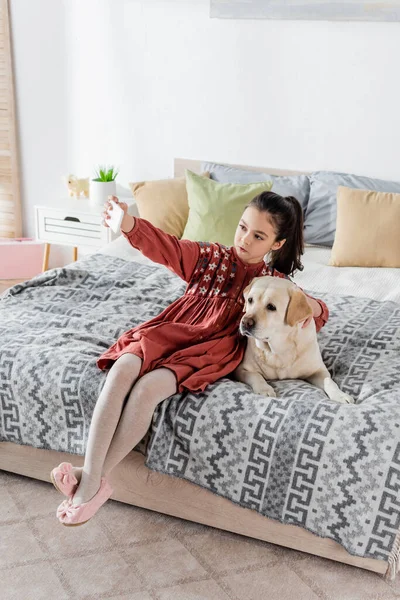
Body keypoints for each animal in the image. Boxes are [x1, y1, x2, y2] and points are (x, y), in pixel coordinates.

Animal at [234, 276, 354, 406]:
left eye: (271, 307)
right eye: (250, 300)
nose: (245, 322)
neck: (278, 349)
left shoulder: (318, 370)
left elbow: (329, 381)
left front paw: (341, 395)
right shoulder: (241, 369)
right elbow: (255, 376)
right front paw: (264, 389)